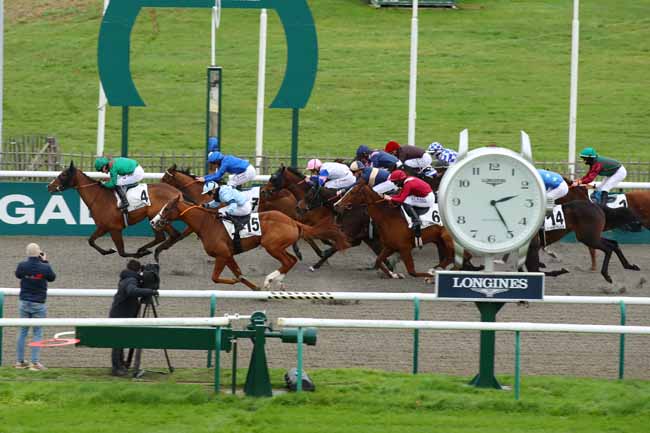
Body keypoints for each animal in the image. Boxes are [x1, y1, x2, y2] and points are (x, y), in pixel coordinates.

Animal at [47, 162, 182, 256]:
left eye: (63, 174)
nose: (49, 186)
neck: (99, 197)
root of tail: (177, 191)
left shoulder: (113, 228)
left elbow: (122, 252)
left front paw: (137, 254)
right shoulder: (103, 227)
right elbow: (91, 241)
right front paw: (108, 251)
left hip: (159, 217)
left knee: (172, 234)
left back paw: (150, 250)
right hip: (154, 218)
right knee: (164, 237)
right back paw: (147, 249)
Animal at [151, 194, 350, 288]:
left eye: (167, 208)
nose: (153, 221)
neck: (206, 223)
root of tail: (293, 221)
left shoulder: (222, 254)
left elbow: (217, 277)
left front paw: (239, 282)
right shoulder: (228, 255)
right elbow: (238, 274)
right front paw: (252, 286)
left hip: (271, 246)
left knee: (287, 261)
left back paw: (270, 280)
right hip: (278, 246)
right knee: (292, 260)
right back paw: (278, 281)